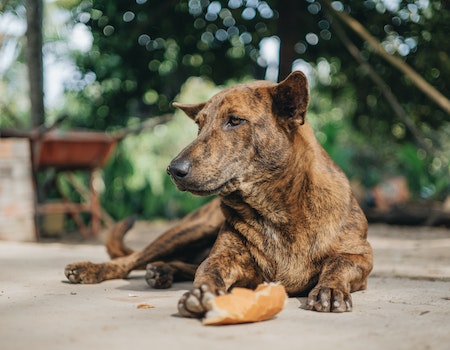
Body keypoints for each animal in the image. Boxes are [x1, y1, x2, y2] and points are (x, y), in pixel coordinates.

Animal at [64, 71, 372, 314]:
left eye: (234, 121)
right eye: (199, 125)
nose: (173, 170)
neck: (276, 209)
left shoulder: (361, 257)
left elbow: (338, 264)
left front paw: (330, 289)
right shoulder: (224, 258)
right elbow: (208, 270)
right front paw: (200, 293)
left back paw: (162, 270)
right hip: (190, 229)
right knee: (131, 260)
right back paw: (92, 269)